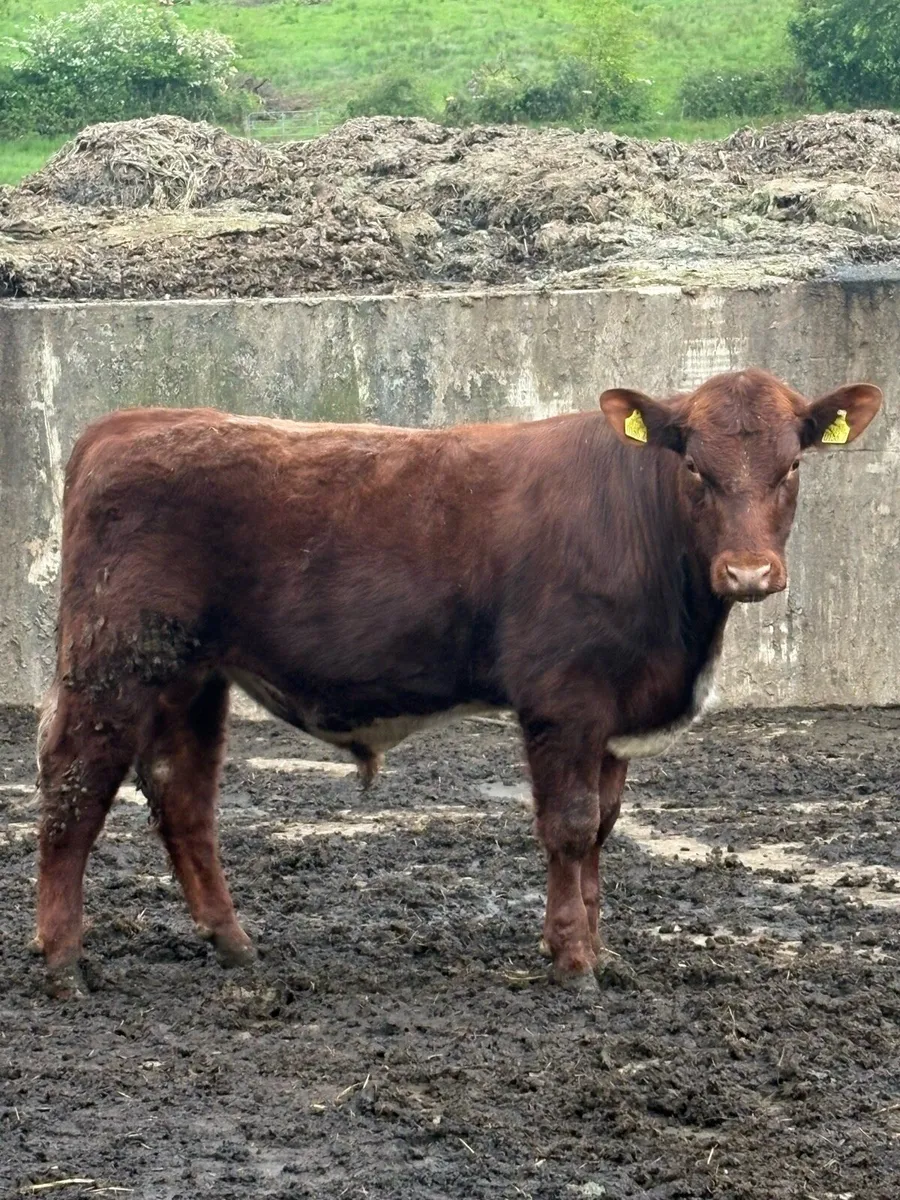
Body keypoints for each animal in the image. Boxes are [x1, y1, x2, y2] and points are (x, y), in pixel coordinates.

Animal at [34, 368, 882, 999]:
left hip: (192, 674)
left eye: (792, 466)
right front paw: (573, 963)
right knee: (75, 783)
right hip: (111, 661)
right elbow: (570, 825)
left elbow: (603, 828)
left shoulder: (613, 714)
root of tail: (124, 425)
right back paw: (64, 961)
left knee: (182, 792)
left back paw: (233, 943)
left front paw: (598, 949)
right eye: (695, 468)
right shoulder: (564, 699)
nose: (749, 573)